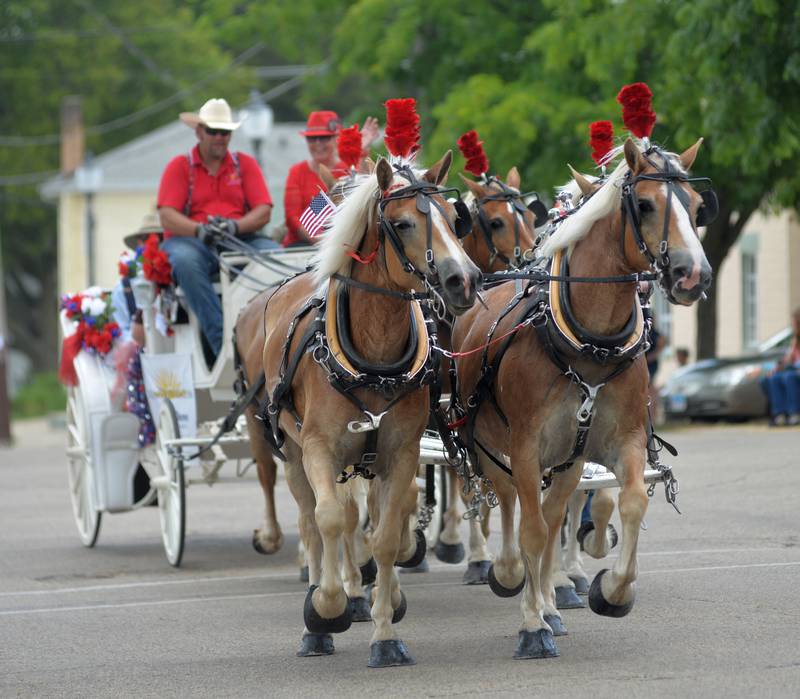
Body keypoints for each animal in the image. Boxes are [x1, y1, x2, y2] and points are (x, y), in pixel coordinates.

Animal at [234, 153, 478, 668]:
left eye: (454, 219)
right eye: (402, 223)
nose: (463, 281)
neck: (373, 356)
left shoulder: (401, 454)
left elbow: (384, 534)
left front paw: (386, 631)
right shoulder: (319, 450)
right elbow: (330, 520)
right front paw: (326, 607)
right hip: (291, 453)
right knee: (310, 522)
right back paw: (318, 617)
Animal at [450, 138, 712, 660]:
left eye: (697, 208)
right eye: (645, 204)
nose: (693, 275)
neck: (588, 345)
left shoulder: (619, 441)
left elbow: (628, 502)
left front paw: (610, 591)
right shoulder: (525, 447)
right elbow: (530, 529)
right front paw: (532, 624)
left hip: (566, 459)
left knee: (552, 516)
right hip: (488, 445)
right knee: (505, 503)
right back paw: (503, 571)